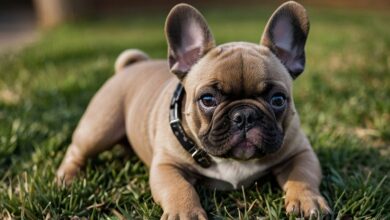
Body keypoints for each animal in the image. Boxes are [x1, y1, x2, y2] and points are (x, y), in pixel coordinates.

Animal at [56, 1, 330, 218]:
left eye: (278, 100)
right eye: (207, 99)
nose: (244, 115)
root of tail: (129, 67)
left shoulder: (300, 152)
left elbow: (303, 175)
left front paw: (307, 201)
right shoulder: (166, 167)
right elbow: (178, 188)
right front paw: (184, 212)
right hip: (100, 127)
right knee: (77, 150)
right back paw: (66, 178)